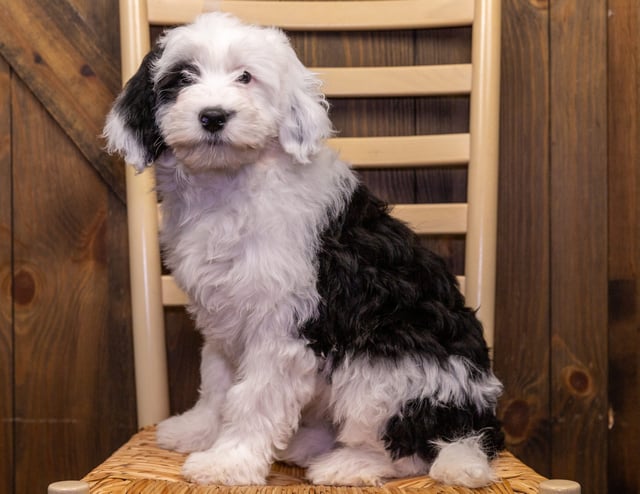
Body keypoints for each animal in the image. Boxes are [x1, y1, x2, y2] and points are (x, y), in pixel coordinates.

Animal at [104, 12, 504, 490]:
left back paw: (349, 463)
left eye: (245, 77)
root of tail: (476, 419)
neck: (231, 185)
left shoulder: (285, 322)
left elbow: (254, 396)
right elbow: (217, 381)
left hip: (386, 364)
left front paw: (229, 462)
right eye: (182, 78)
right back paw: (308, 443)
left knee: (406, 449)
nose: (213, 116)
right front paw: (199, 431)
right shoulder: (222, 317)